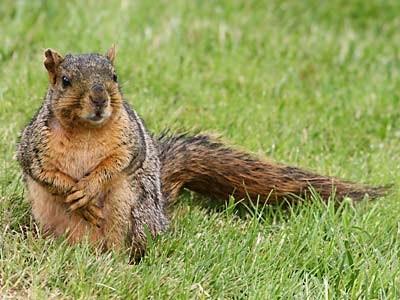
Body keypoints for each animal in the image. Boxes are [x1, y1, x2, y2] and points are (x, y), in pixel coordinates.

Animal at [17, 45, 390, 262]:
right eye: (65, 81)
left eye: (114, 77)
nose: (99, 99)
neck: (86, 131)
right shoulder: (33, 147)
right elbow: (42, 172)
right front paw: (72, 192)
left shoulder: (131, 142)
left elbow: (119, 163)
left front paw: (89, 189)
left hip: (133, 215)